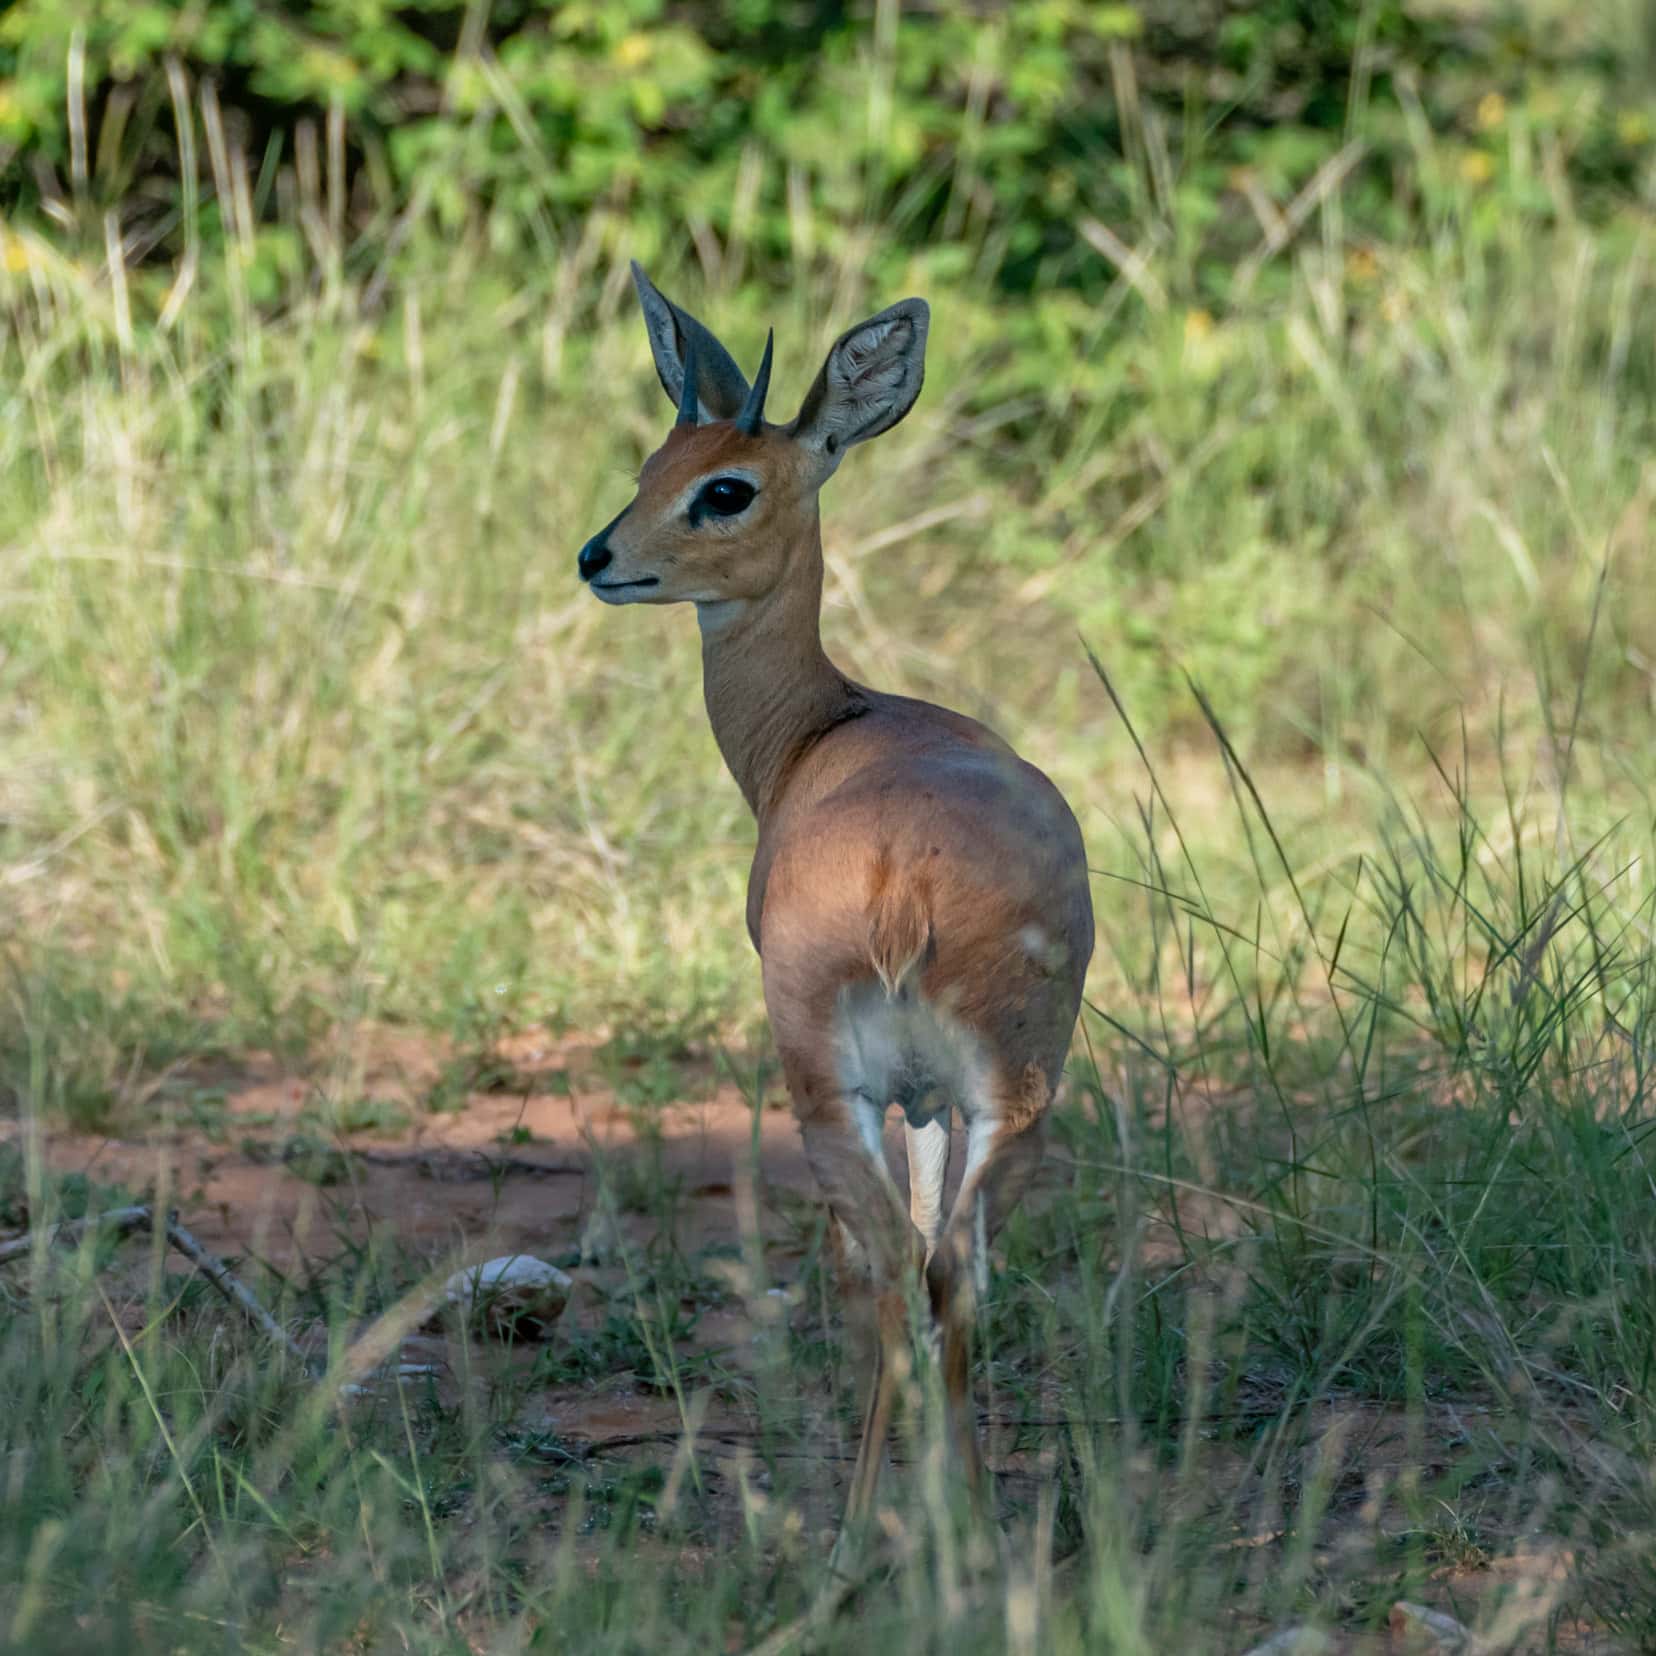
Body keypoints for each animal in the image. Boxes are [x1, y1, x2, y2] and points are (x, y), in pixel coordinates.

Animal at [576, 264, 1092, 1543]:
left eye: (726, 487)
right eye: (655, 457)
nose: (600, 556)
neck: (825, 724)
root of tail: (905, 872)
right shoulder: (934, 1100)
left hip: (827, 1085)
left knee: (883, 1269)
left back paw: (858, 1535)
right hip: (1011, 1092)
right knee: (954, 1268)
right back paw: (971, 1526)